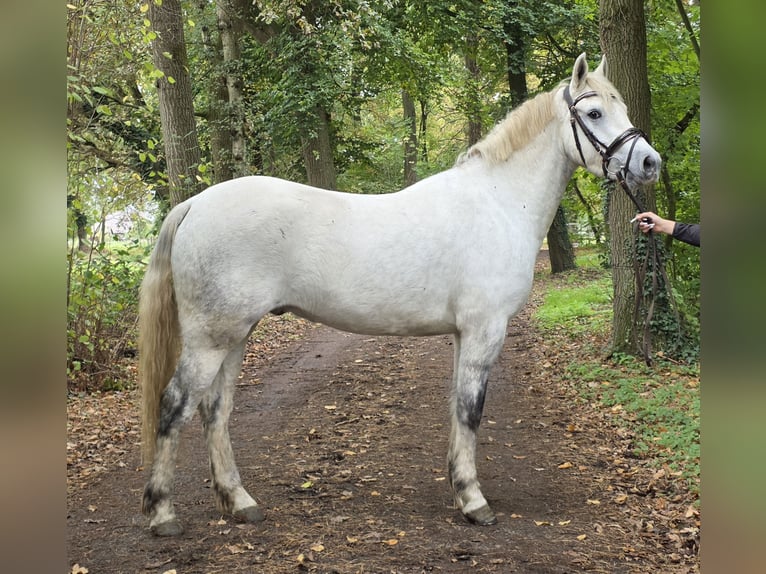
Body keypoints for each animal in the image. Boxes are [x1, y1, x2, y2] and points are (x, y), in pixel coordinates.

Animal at [139, 53, 661, 536]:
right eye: (594, 112)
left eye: (623, 106)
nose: (650, 163)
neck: (498, 202)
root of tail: (195, 204)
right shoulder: (485, 330)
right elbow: (471, 410)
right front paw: (474, 502)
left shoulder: (463, 334)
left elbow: (457, 408)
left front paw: (459, 489)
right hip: (211, 337)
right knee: (174, 407)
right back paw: (163, 513)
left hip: (235, 335)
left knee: (215, 412)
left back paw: (239, 501)